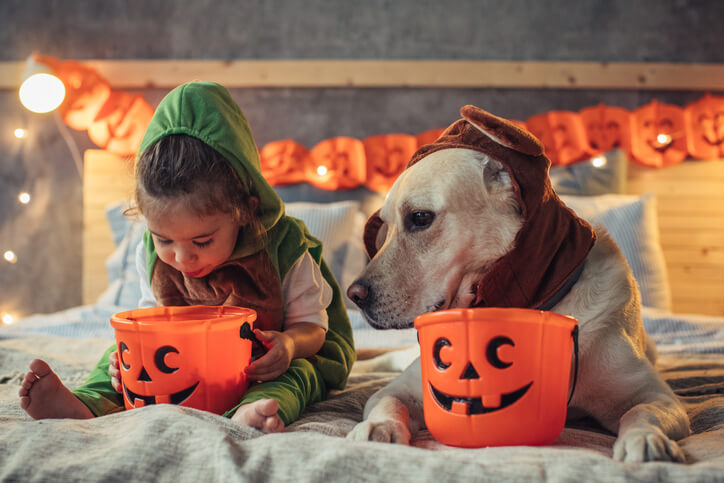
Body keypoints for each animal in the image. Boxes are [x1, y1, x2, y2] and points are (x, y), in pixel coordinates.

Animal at [348, 105, 692, 462]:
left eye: (419, 218)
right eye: (384, 228)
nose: (354, 295)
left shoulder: (659, 397)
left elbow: (640, 412)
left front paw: (647, 440)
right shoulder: (403, 389)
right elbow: (387, 402)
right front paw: (378, 428)